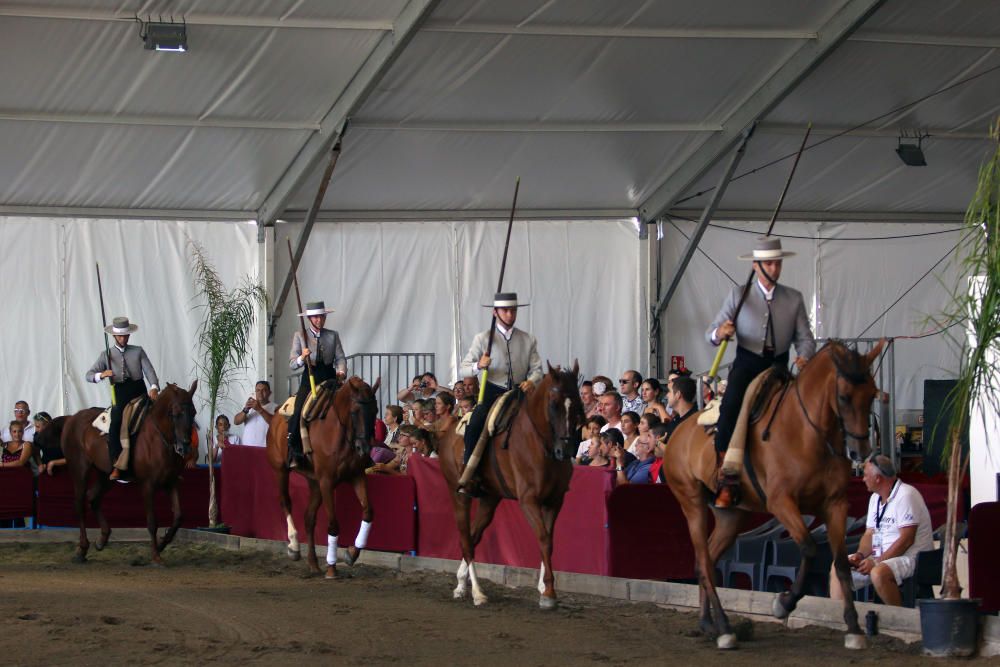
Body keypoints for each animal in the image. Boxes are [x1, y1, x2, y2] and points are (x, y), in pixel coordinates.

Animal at [61, 384, 199, 568]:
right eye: (176, 413)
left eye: (193, 412)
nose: (185, 446)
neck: (158, 437)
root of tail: (72, 418)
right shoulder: (148, 485)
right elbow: (152, 522)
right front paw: (156, 556)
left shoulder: (171, 482)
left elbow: (178, 517)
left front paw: (161, 545)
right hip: (79, 470)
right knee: (80, 504)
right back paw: (82, 549)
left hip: (105, 475)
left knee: (93, 498)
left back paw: (102, 540)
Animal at [268, 376, 380, 580]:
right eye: (355, 411)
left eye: (375, 410)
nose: (365, 448)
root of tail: (275, 417)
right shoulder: (327, 481)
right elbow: (333, 524)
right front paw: (331, 568)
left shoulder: (356, 476)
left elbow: (368, 512)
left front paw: (351, 554)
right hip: (281, 471)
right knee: (285, 502)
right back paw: (294, 547)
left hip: (314, 481)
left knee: (309, 517)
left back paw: (313, 563)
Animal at [438, 362, 584, 608]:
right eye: (553, 404)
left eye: (577, 403)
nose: (564, 450)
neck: (541, 444)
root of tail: (448, 433)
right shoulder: (528, 500)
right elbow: (543, 537)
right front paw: (548, 592)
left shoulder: (554, 500)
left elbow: (549, 539)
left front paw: (545, 588)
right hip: (458, 494)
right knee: (466, 540)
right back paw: (477, 592)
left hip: (490, 498)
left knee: (474, 537)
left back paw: (461, 584)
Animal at [664, 342, 884, 648]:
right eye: (843, 395)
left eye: (872, 393)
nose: (860, 452)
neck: (807, 433)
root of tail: (677, 432)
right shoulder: (781, 503)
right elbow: (809, 548)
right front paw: (784, 603)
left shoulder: (836, 504)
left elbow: (840, 562)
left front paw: (854, 629)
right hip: (692, 503)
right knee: (705, 563)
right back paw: (724, 628)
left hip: (731, 515)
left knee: (704, 559)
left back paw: (708, 623)